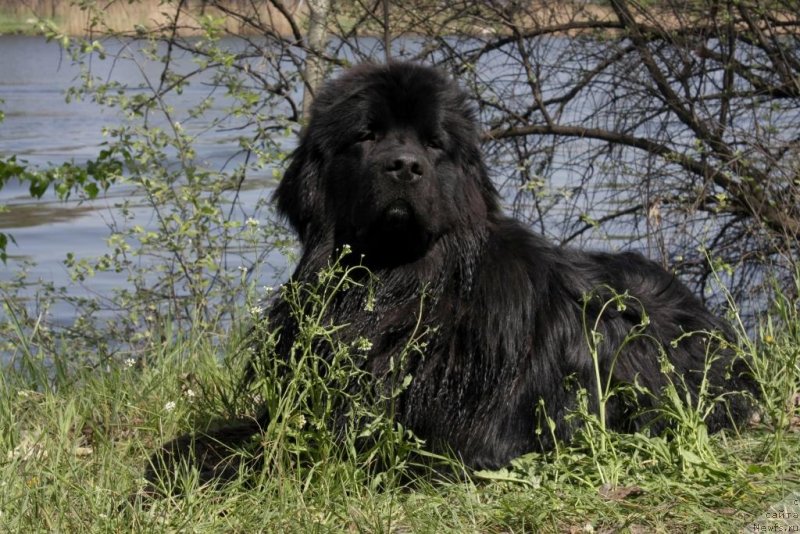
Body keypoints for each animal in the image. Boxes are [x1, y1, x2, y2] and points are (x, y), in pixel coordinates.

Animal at [147, 62, 752, 486]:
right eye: (367, 135)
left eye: (434, 144)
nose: (405, 166)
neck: (398, 285)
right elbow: (213, 440)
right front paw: (174, 462)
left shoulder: (464, 444)